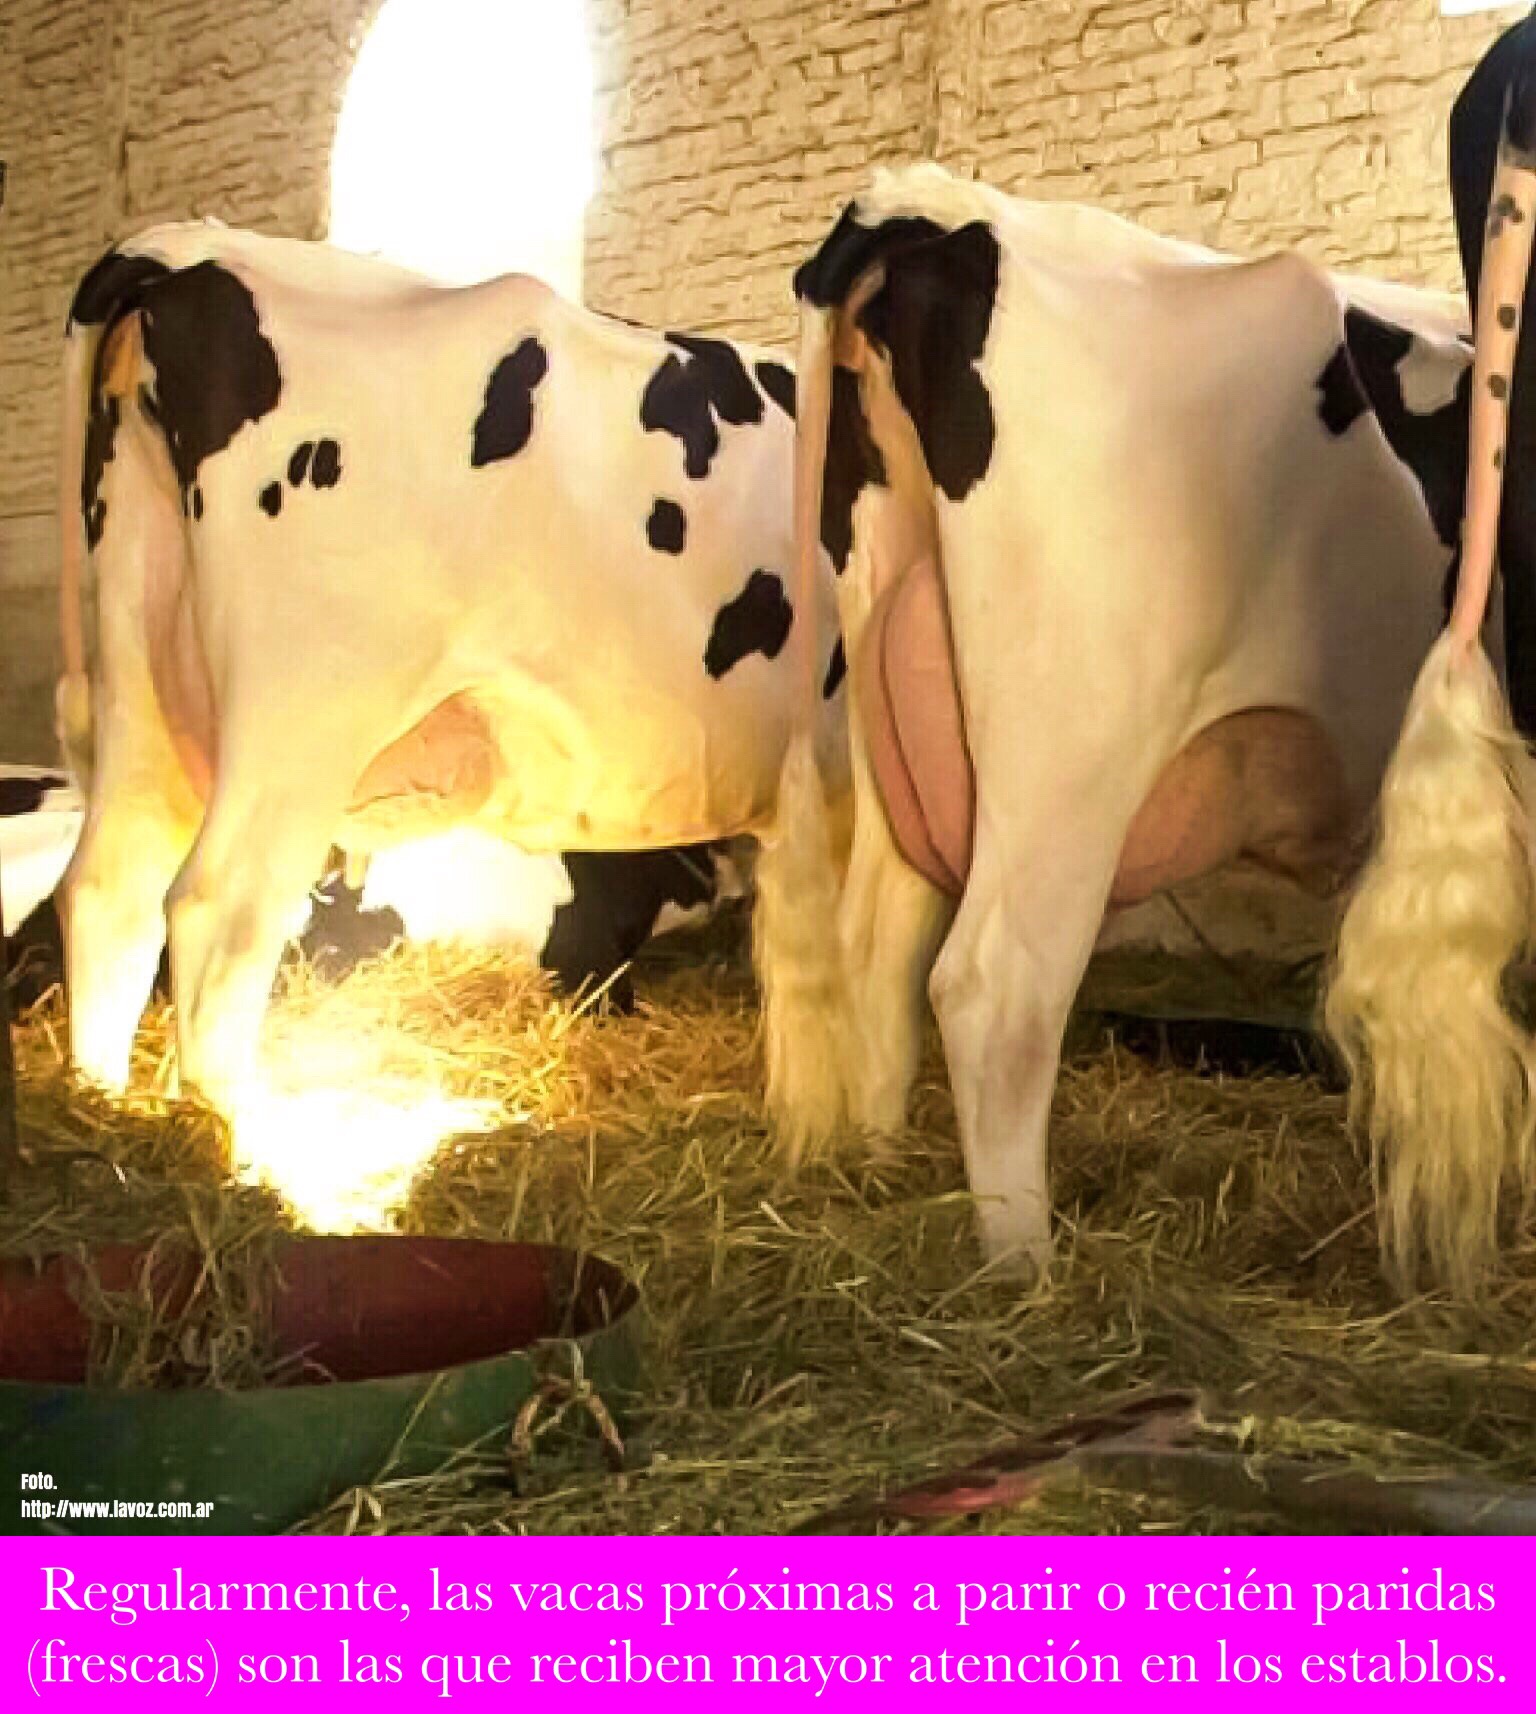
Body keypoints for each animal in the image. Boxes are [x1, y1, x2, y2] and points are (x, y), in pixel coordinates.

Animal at [54, 228, 845, 1123]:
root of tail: (199, 250)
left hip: (141, 665)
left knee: (110, 892)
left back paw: (106, 1098)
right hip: (304, 716)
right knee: (220, 910)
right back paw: (243, 1135)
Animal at [755, 134, 1536, 1293]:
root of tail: (930, 207)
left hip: (899, 689)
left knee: (878, 946)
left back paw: (881, 1170)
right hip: (1072, 749)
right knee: (994, 987)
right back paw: (1026, 1273)